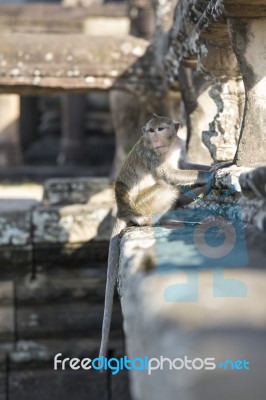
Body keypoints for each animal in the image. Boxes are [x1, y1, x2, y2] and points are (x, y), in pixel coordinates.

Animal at [98, 112, 221, 360]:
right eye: (150, 131)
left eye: (160, 129)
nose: (154, 138)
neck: (167, 146)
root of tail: (122, 210)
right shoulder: (152, 156)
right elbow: (169, 174)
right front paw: (208, 174)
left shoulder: (179, 146)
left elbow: (184, 165)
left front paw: (213, 166)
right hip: (143, 205)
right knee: (167, 187)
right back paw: (161, 220)